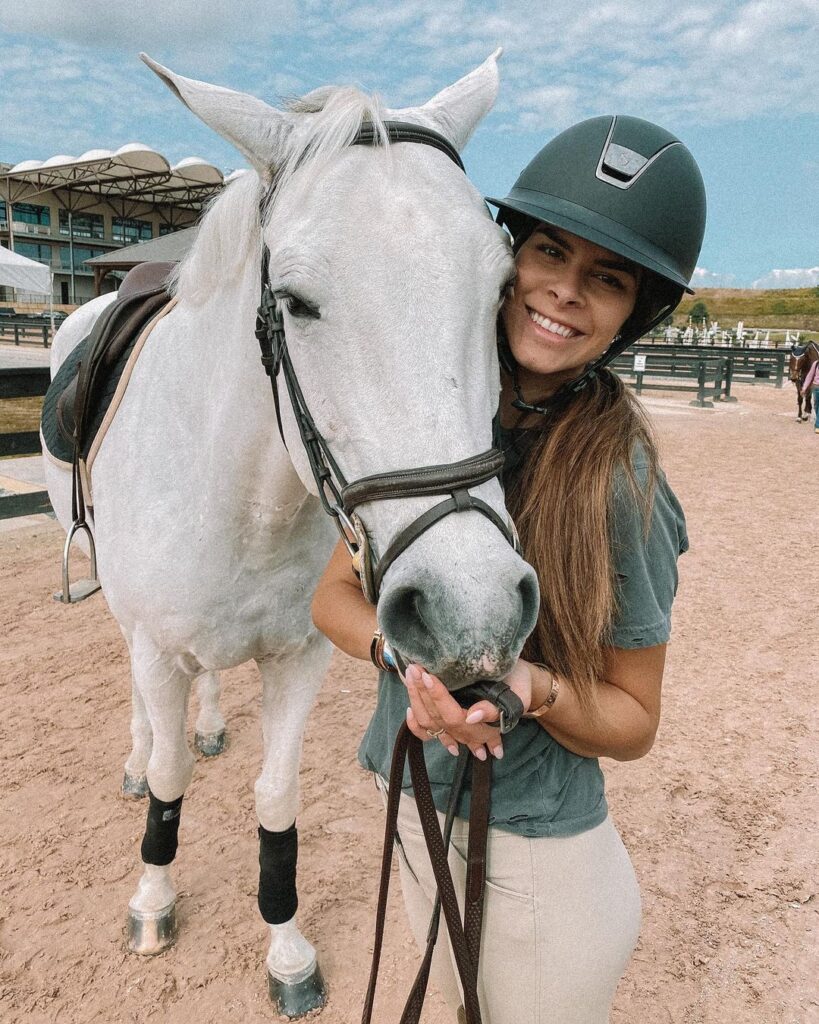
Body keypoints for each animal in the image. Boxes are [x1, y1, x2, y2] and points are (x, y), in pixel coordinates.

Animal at [41, 49, 536, 1015]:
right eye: (296, 301)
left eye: (501, 290)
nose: (474, 607)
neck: (242, 498)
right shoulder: (156, 644)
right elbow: (169, 784)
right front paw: (152, 901)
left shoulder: (299, 657)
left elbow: (276, 795)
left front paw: (287, 950)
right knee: (146, 713)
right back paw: (142, 750)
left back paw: (206, 723)